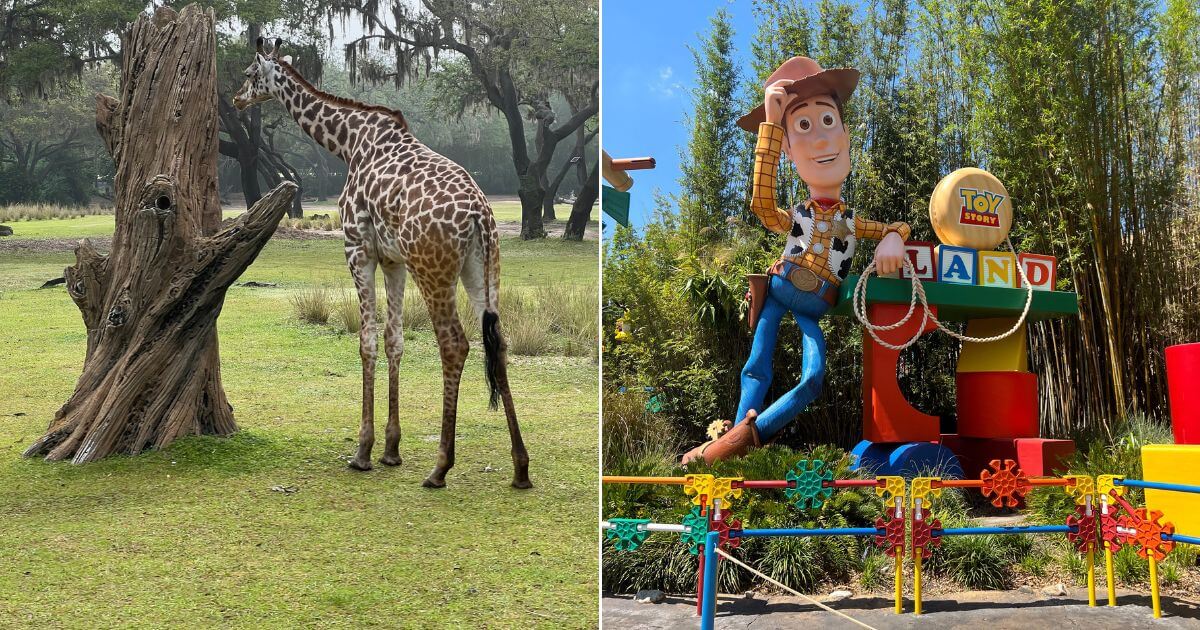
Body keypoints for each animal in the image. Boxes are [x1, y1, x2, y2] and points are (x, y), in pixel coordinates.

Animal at [232, 36, 530, 489]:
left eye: (250, 74)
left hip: (434, 269)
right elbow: (395, 341)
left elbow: (366, 341)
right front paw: (391, 449)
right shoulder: (394, 261)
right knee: (499, 343)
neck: (349, 143)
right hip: (482, 269)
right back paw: (521, 467)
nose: (235, 99)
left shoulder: (358, 248)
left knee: (455, 344)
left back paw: (440, 467)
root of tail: (480, 215)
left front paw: (363, 450)